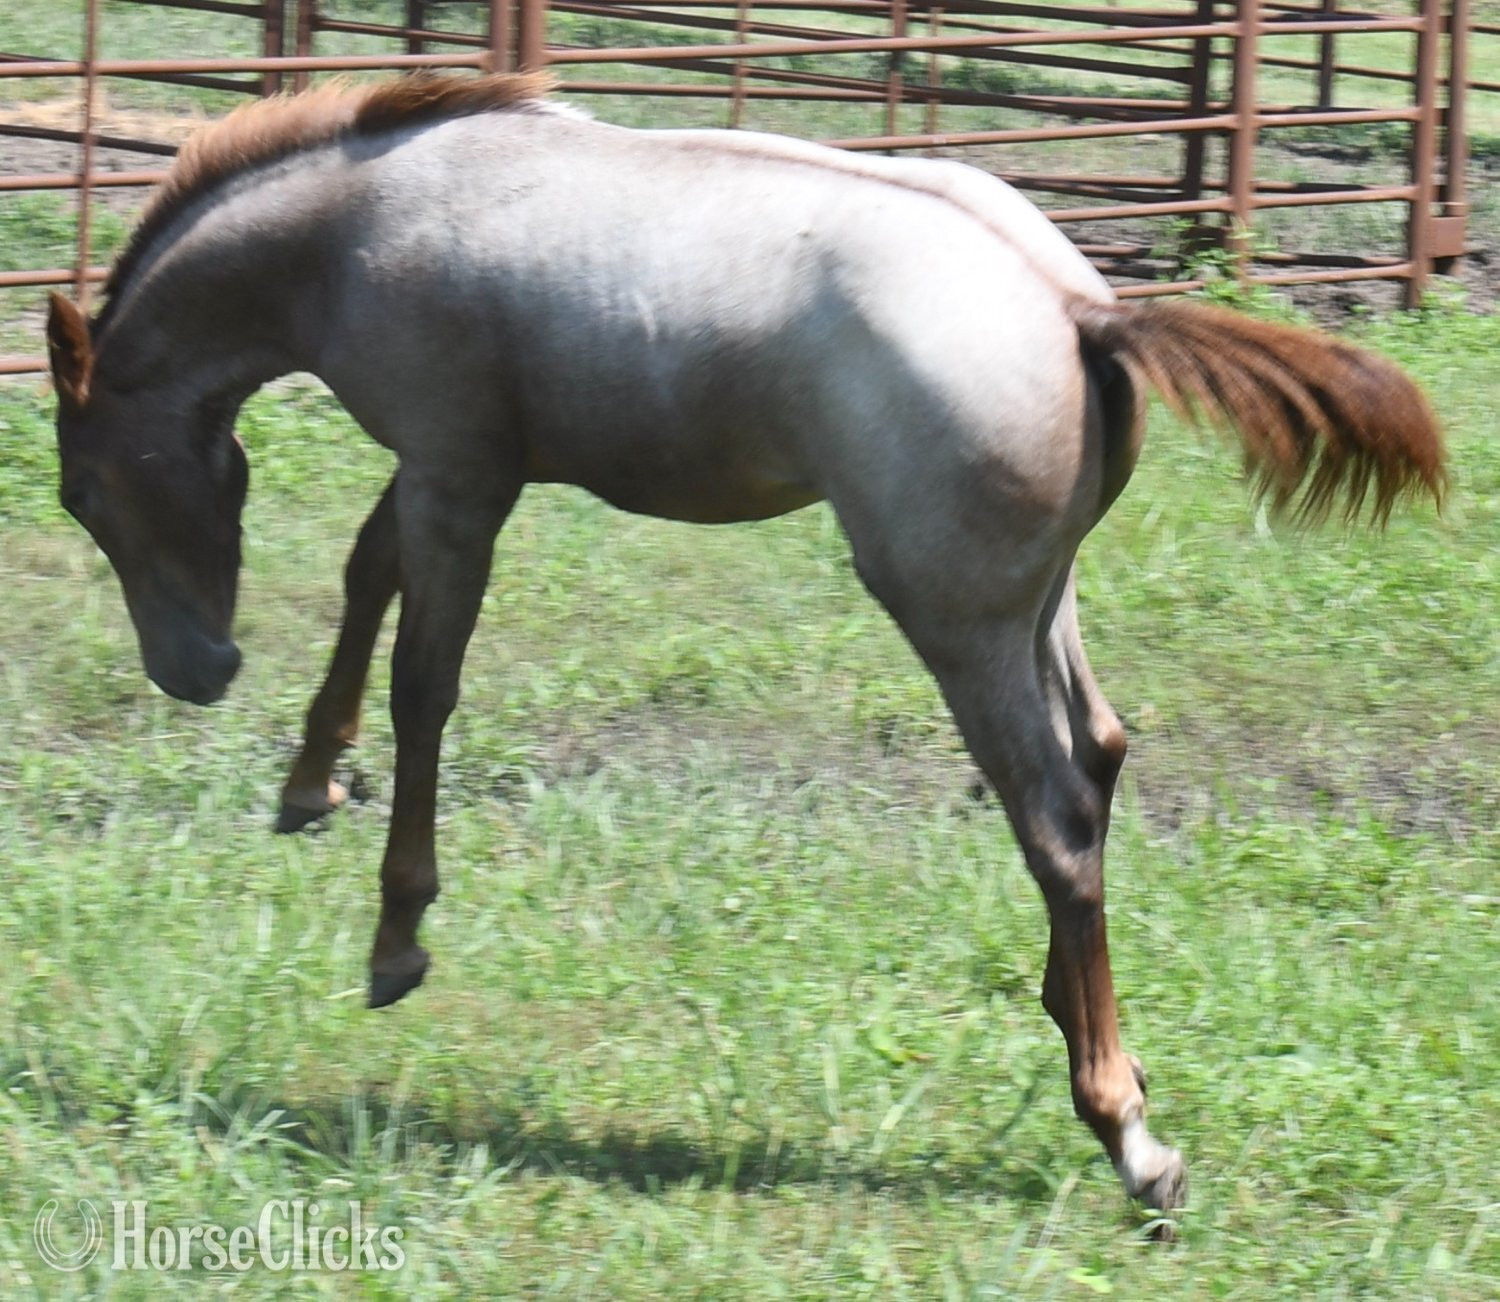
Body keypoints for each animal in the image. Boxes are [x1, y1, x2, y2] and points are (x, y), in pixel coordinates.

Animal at [45, 72, 1444, 1214]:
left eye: (81, 491)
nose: (196, 673)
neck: (365, 220)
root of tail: (1076, 305)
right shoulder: (448, 470)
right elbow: (364, 578)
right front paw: (306, 784)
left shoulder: (459, 474)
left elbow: (424, 688)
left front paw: (396, 940)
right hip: (1042, 598)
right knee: (1098, 755)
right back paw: (1095, 1042)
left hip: (957, 620)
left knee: (1053, 814)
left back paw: (1128, 1136)